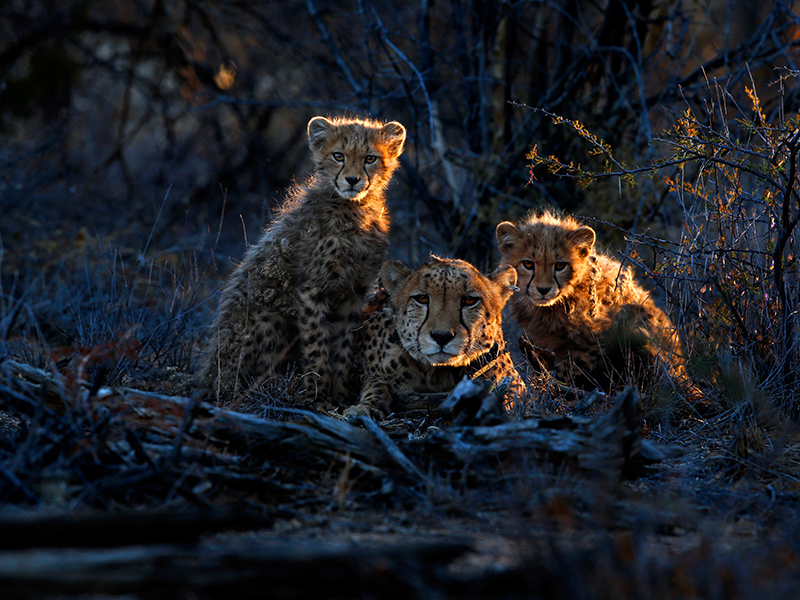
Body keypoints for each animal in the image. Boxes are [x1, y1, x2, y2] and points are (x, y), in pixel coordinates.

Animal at [203, 115, 406, 406]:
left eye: (370, 158)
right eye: (338, 155)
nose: (352, 180)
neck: (353, 209)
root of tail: (210, 377)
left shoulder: (356, 290)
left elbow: (343, 344)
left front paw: (339, 395)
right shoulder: (312, 288)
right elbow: (316, 342)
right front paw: (317, 397)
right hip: (267, 319)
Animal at [344, 255, 524, 420]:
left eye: (469, 300)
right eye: (422, 298)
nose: (442, 337)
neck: (439, 371)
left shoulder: (514, 379)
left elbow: (508, 392)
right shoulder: (355, 371)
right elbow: (375, 382)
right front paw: (363, 407)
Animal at [494, 211, 688, 394]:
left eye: (560, 265)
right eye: (528, 264)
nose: (543, 290)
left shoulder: (587, 347)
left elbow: (566, 379)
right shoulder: (540, 344)